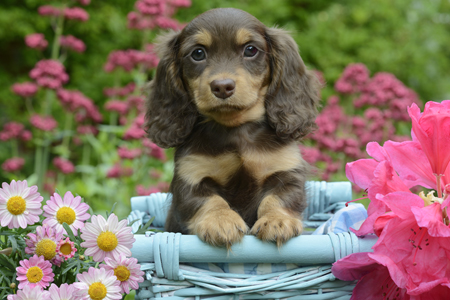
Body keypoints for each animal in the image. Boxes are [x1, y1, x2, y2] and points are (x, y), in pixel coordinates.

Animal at [144, 8, 320, 247]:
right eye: (197, 53)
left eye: (250, 50)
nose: (222, 87)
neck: (235, 129)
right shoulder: (190, 177)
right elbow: (209, 200)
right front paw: (220, 221)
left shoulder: (286, 170)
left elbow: (278, 197)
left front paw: (277, 221)